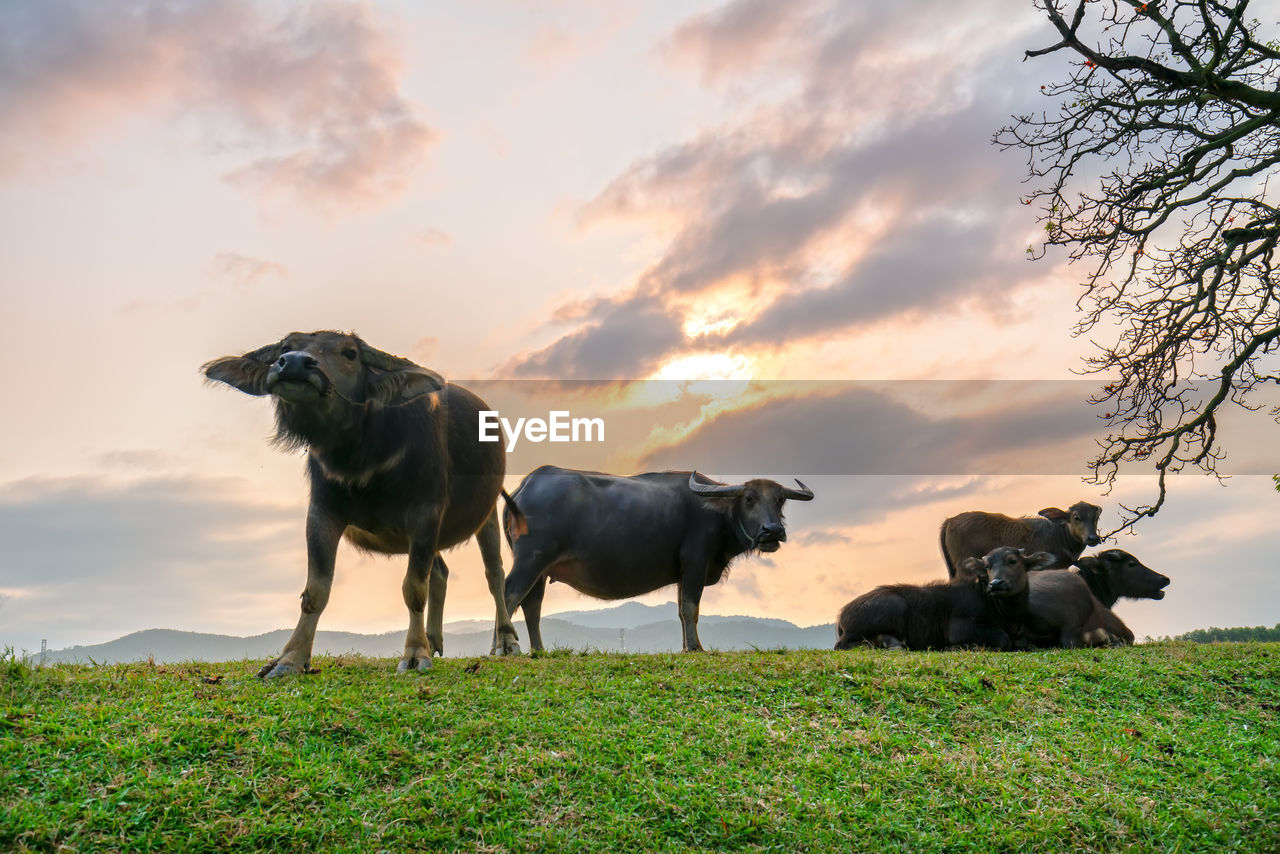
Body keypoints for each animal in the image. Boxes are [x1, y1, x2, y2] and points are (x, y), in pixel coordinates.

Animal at [202, 330, 517, 676]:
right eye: (286, 347)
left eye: (350, 353)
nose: (295, 363)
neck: (361, 455)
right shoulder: (322, 514)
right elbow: (316, 591)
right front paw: (289, 660)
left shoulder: (425, 515)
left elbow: (413, 589)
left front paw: (414, 654)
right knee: (441, 573)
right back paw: (434, 639)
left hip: (487, 515)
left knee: (494, 573)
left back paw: (505, 641)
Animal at [496, 463, 808, 650]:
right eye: (749, 499)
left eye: (780, 499)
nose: (772, 531)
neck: (717, 513)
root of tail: (523, 487)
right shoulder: (696, 563)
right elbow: (691, 608)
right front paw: (696, 647)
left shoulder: (683, 573)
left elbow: (681, 610)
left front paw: (686, 647)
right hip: (530, 560)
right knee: (509, 594)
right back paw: (505, 649)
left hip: (540, 569)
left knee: (532, 606)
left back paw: (538, 650)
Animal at [829, 547, 1049, 655]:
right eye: (987, 566)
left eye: (1013, 561)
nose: (996, 584)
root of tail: (842, 614)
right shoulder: (961, 628)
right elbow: (1003, 639)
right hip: (894, 604)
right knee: (843, 645)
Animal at [936, 501, 1105, 581]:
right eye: (1076, 517)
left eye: (1096, 517)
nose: (1092, 538)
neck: (1060, 536)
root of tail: (950, 521)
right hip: (965, 569)